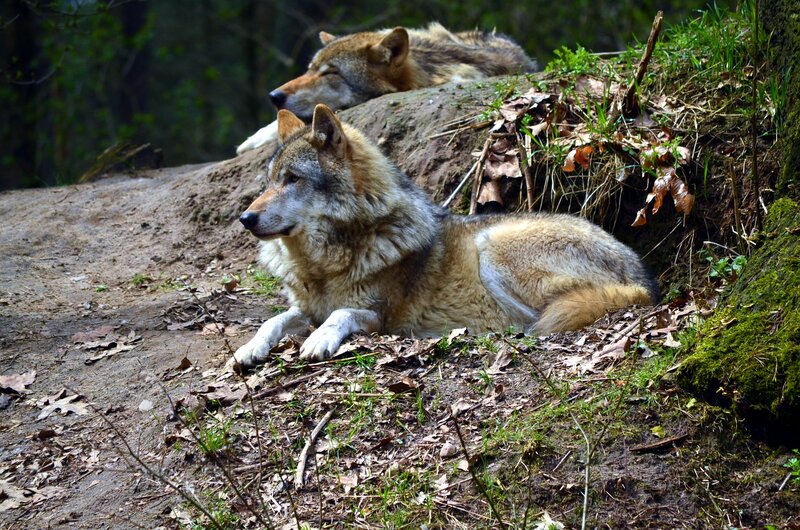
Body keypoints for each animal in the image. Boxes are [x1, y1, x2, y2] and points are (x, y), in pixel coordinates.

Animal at [231, 105, 658, 368]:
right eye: (269, 182)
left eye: (293, 179)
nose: (245, 218)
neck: (325, 265)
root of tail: (644, 281)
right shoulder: (305, 308)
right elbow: (273, 320)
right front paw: (249, 348)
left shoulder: (380, 318)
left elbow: (340, 313)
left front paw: (319, 340)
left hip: (491, 249)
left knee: (534, 321)